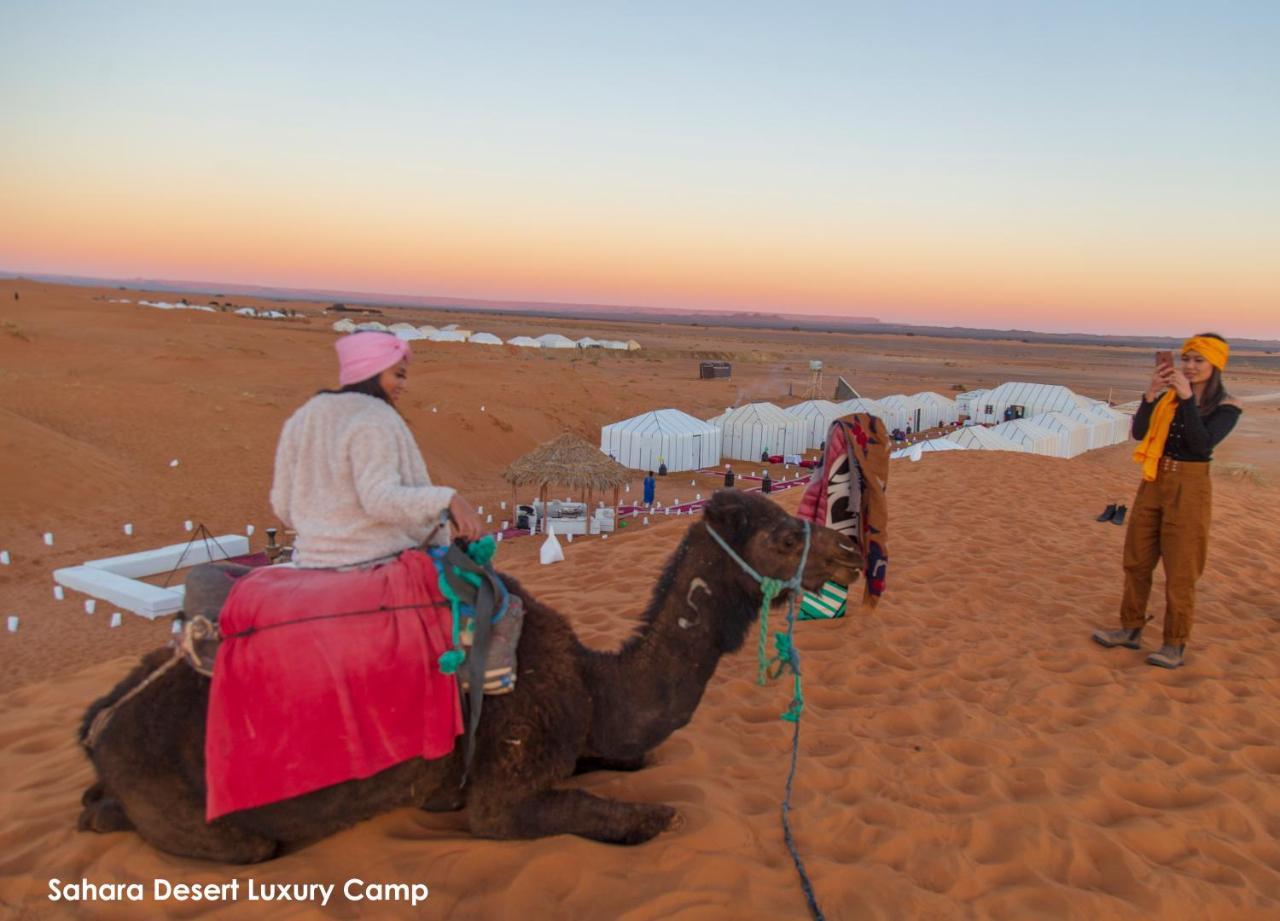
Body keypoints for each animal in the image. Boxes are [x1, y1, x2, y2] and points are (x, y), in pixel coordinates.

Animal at [77, 493, 860, 859]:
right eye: (785, 534)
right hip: (203, 814)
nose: (853, 552)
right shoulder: (504, 794)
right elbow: (647, 815)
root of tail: (100, 722)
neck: (592, 682)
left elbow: (637, 758)